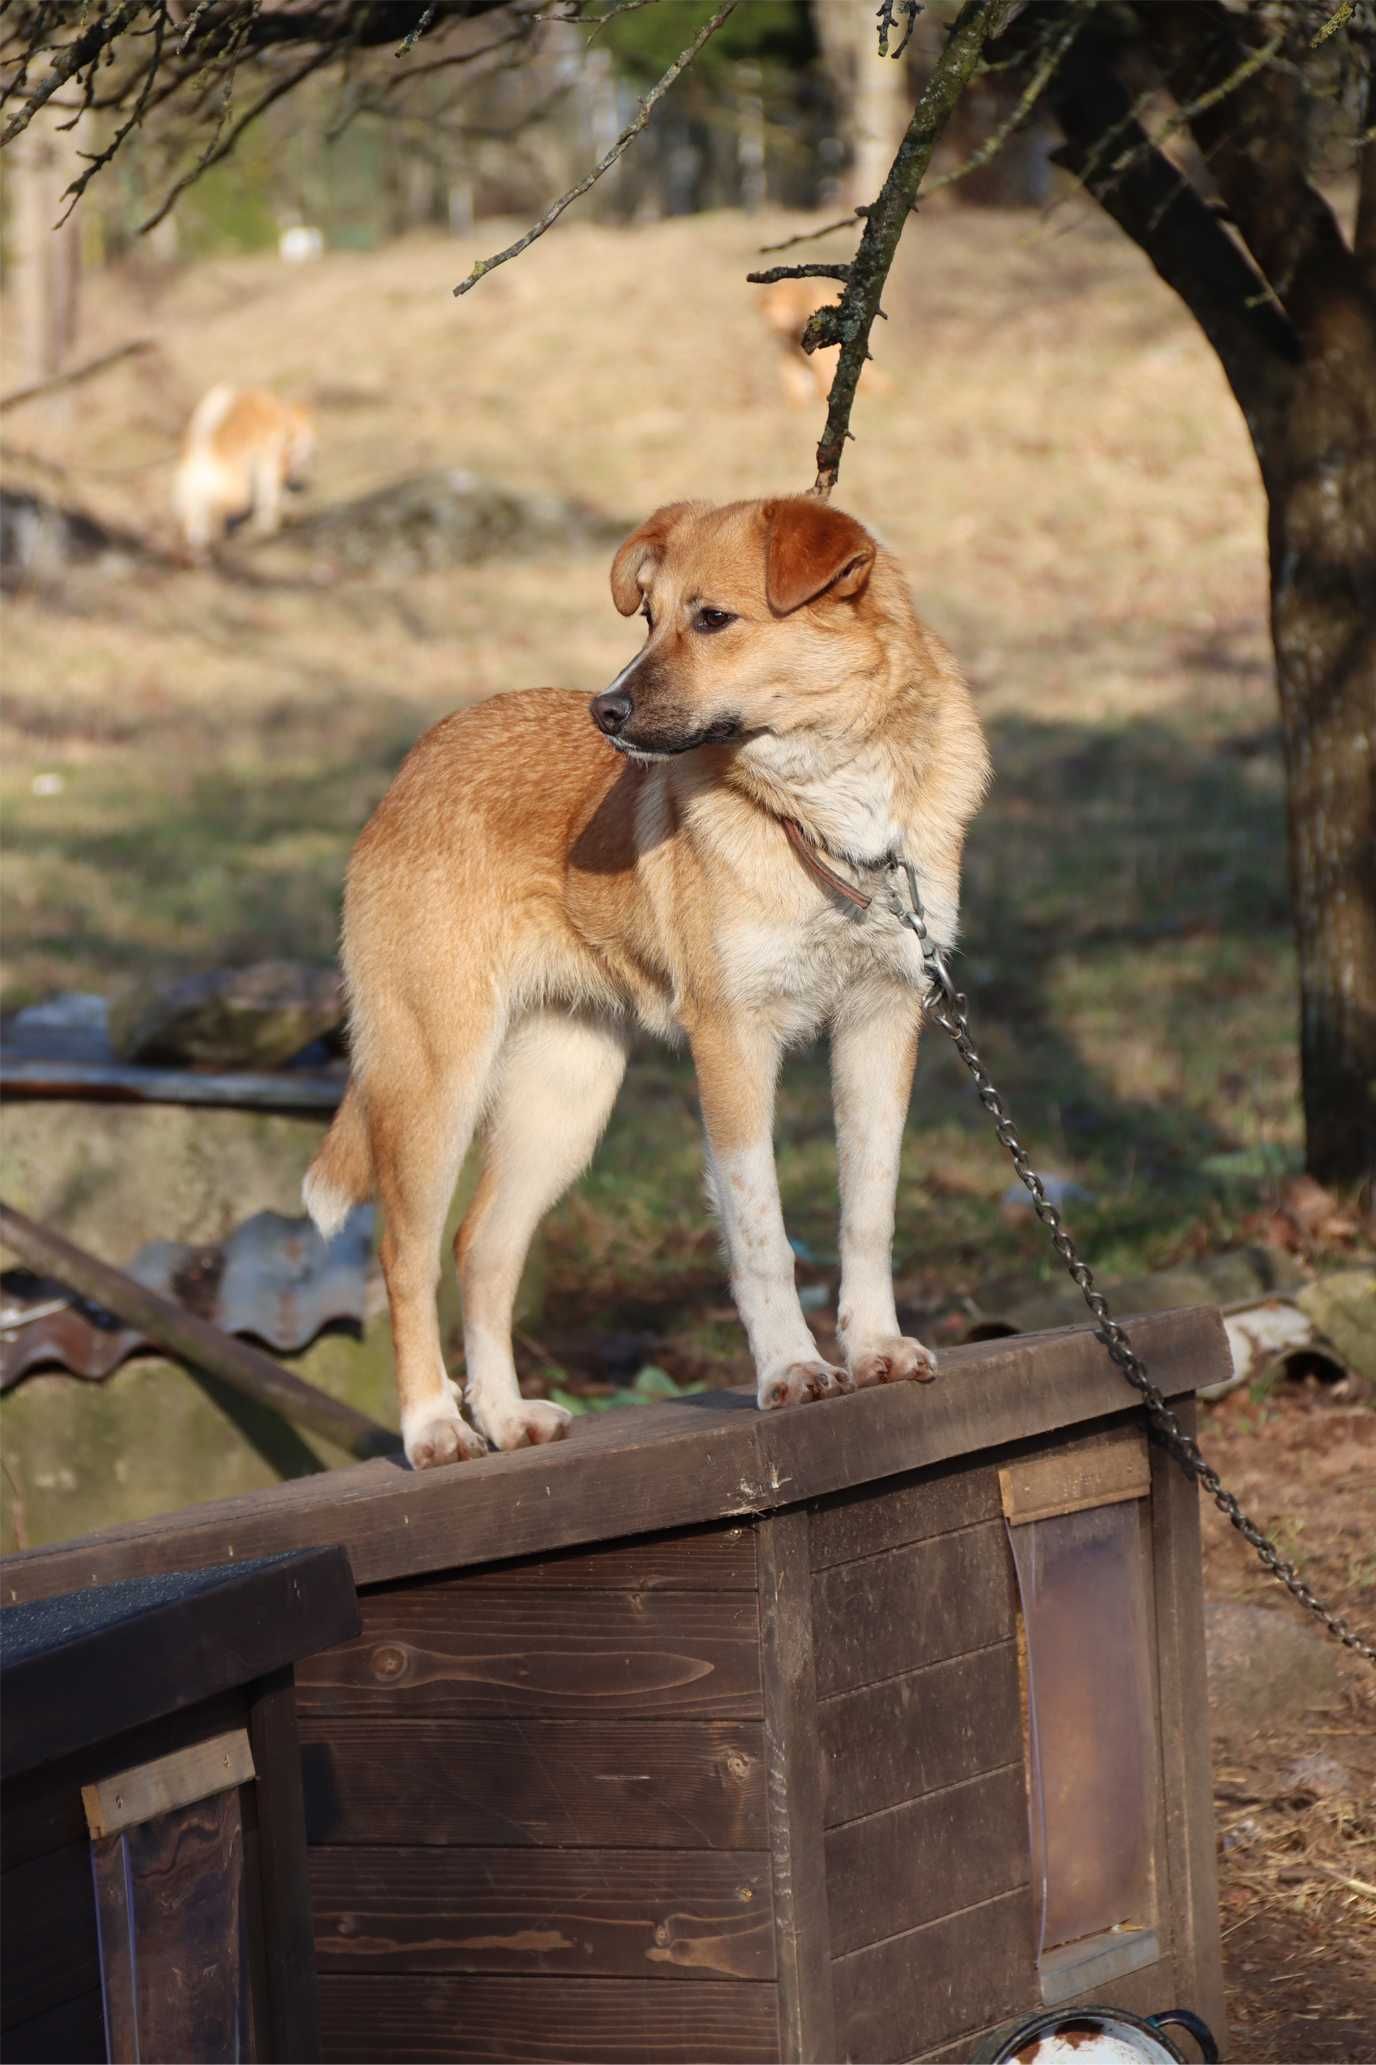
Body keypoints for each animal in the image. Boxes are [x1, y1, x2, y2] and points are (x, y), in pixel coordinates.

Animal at [171, 386, 314, 557]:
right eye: (300, 448)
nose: (296, 462)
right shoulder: (268, 462)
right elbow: (268, 499)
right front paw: (268, 523)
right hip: (237, 493)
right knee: (218, 515)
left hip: (194, 501)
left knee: (196, 527)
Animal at [301, 495, 987, 1470]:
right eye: (649, 617)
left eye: (713, 618)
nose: (606, 709)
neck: (830, 804)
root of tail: (416, 761)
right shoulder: (732, 1041)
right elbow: (760, 1230)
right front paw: (791, 1368)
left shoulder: (883, 1019)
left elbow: (869, 1208)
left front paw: (876, 1347)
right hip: (434, 1078)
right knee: (406, 1252)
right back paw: (435, 1425)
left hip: (565, 1094)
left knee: (482, 1247)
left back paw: (505, 1417)